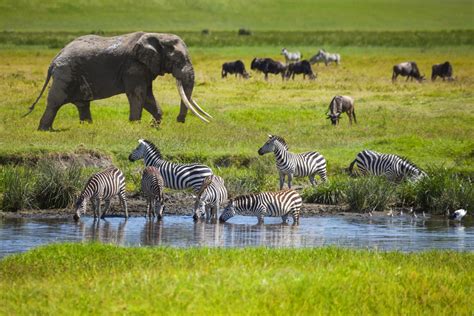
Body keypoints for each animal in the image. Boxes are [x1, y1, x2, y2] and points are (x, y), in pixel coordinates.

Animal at [23, 31, 213, 130]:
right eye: (178, 60)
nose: (179, 121)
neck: (157, 36)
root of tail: (54, 59)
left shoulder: (144, 68)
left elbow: (147, 96)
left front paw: (154, 126)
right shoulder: (133, 67)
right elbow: (138, 95)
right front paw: (136, 126)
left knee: (82, 104)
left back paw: (87, 127)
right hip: (65, 73)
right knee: (55, 102)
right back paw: (45, 130)